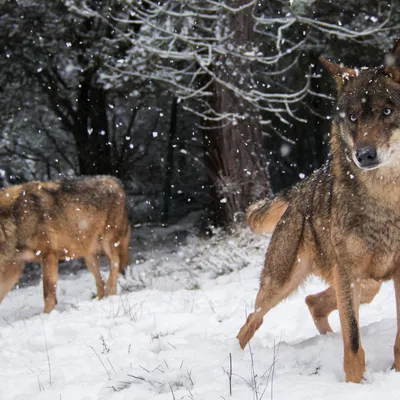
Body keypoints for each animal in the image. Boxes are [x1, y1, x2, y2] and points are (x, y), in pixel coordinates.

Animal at [0, 177, 130, 314]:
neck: (15, 219)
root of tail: (115, 182)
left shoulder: (49, 255)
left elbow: (48, 293)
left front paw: (47, 315)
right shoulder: (13, 266)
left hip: (108, 243)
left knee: (115, 263)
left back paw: (111, 293)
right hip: (89, 259)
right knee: (100, 282)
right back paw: (100, 301)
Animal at [236, 41, 400, 384]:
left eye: (387, 111)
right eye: (352, 117)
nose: (364, 155)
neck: (387, 199)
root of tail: (302, 186)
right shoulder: (348, 273)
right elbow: (354, 342)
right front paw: (355, 385)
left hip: (367, 283)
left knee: (314, 302)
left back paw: (326, 341)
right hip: (286, 282)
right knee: (251, 321)